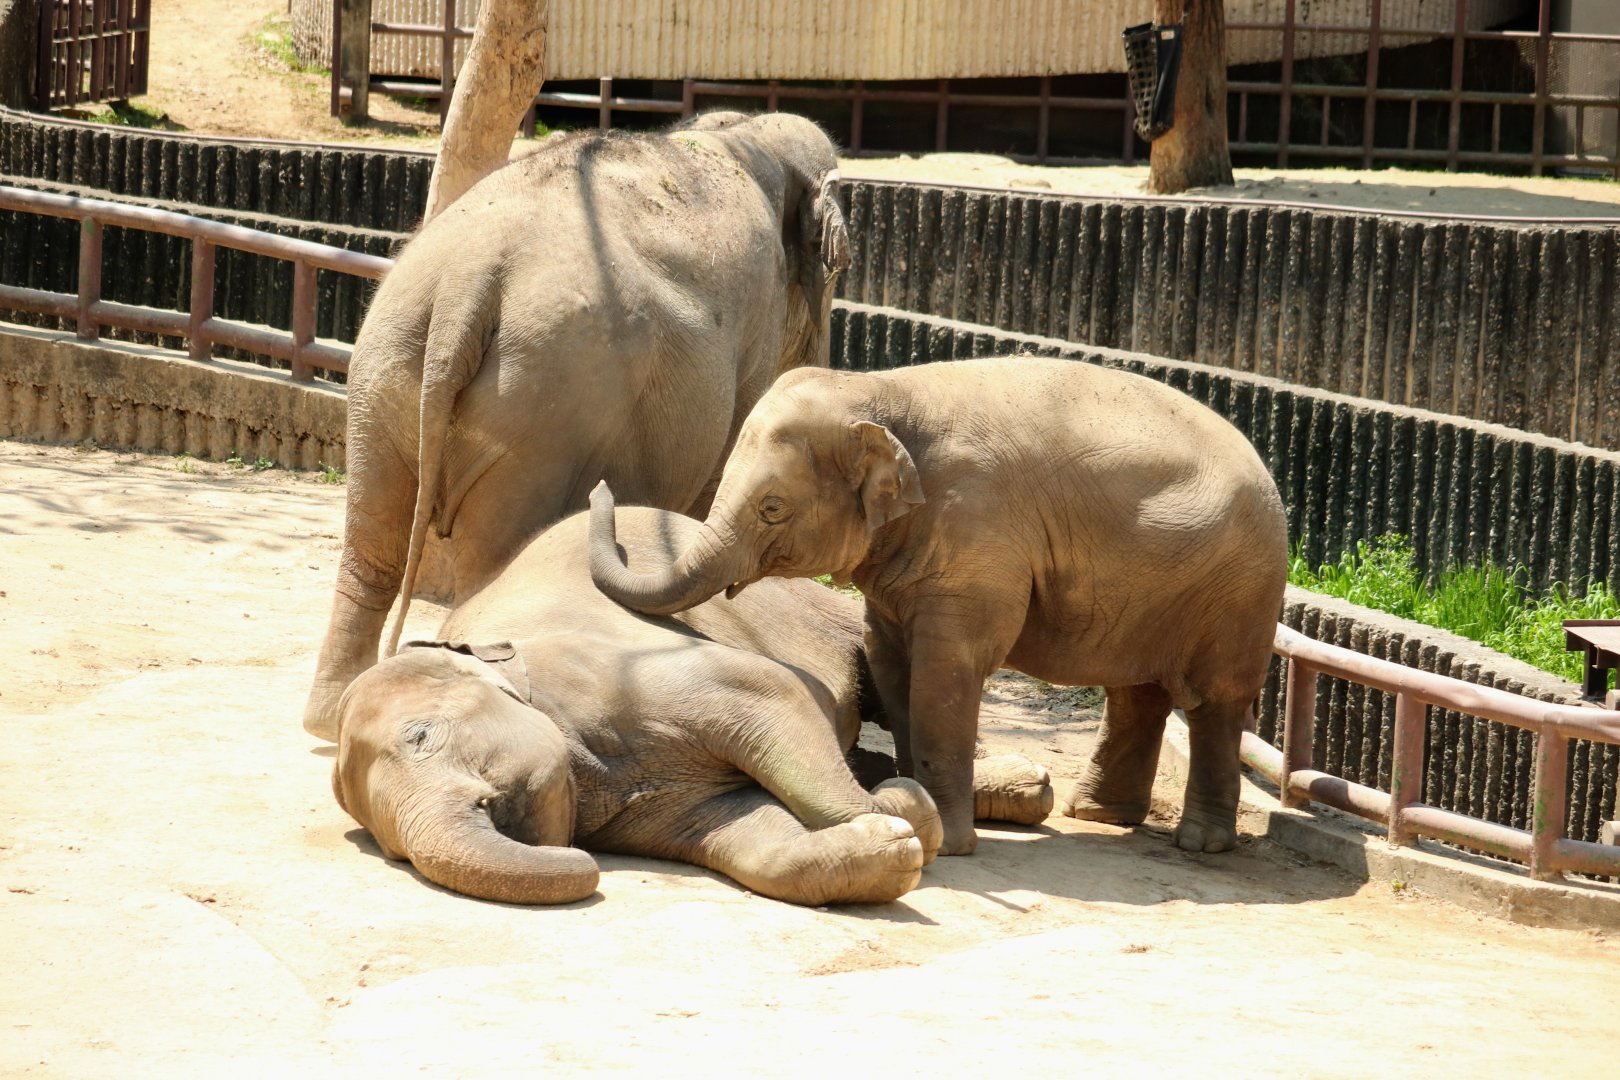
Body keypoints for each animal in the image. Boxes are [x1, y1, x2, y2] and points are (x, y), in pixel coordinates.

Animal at [304, 111, 852, 740]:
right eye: (842, 269)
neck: (744, 131)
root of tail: (467, 282)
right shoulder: (756, 328)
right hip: (541, 409)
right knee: (492, 558)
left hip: (384, 371)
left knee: (372, 540)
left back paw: (329, 717)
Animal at [333, 505, 943, 906]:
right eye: (392, 852)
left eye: (419, 736)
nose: (583, 860)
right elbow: (743, 827)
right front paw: (895, 839)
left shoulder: (613, 670)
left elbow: (769, 691)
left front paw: (903, 813)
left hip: (795, 596)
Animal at [589, 356, 1290, 857]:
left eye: (772, 508)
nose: (600, 487)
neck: (882, 391)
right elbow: (892, 663)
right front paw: (919, 809)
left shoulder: (978, 533)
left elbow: (946, 672)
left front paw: (949, 847)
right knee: (1137, 691)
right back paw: (1098, 815)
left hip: (1240, 590)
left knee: (1216, 700)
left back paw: (1201, 843)